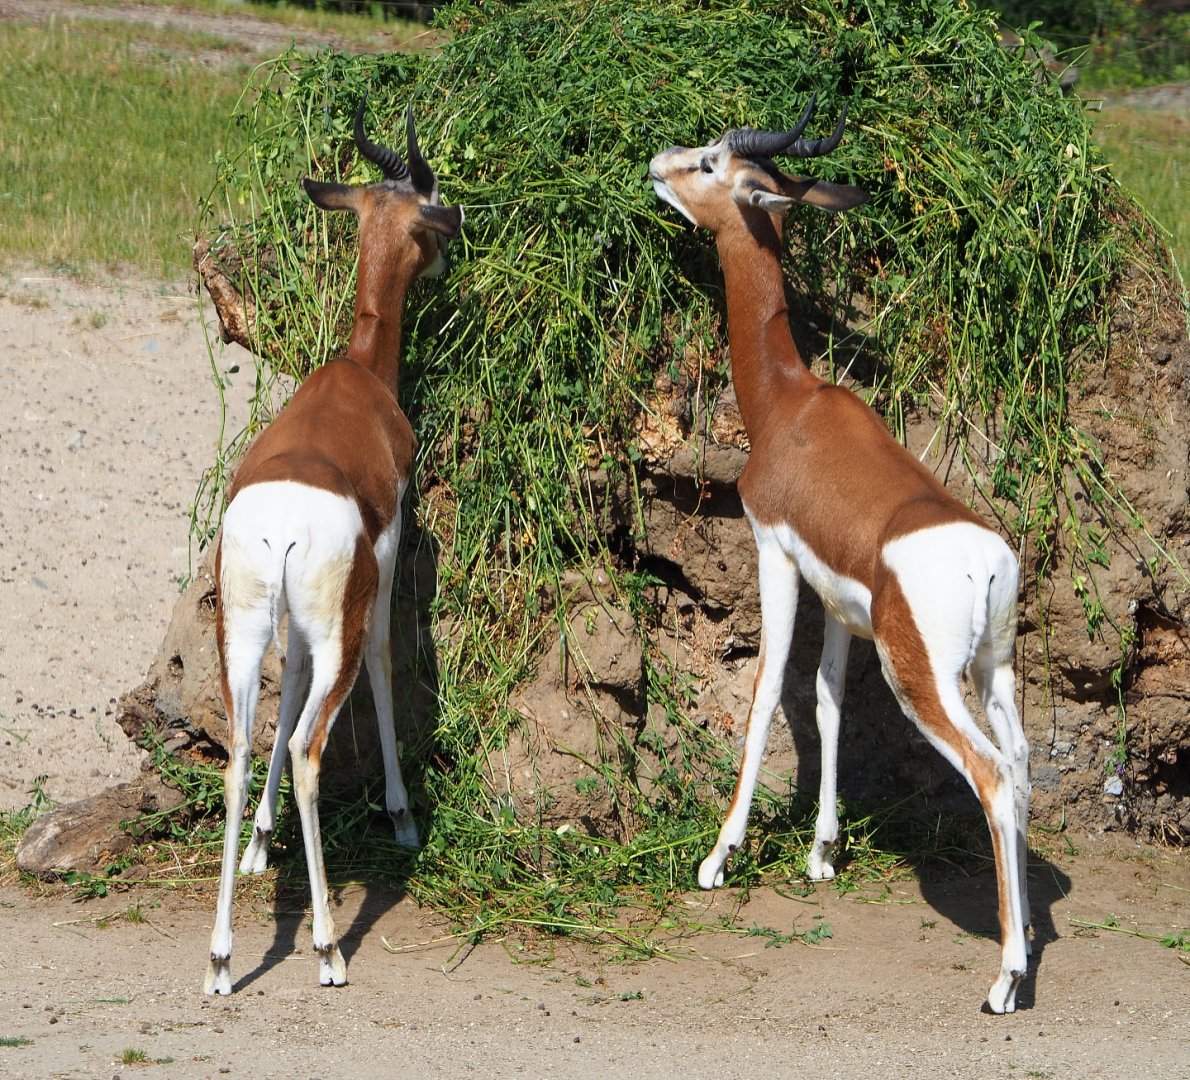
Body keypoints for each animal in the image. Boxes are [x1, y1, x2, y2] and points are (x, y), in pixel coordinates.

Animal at [203, 101, 463, 996]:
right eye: (433, 209)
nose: (450, 255)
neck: (359, 377)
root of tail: (279, 523)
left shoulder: (295, 629)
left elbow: (282, 701)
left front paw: (259, 842)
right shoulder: (381, 570)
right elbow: (387, 663)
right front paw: (404, 817)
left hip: (244, 628)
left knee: (241, 750)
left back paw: (220, 959)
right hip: (328, 622)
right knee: (311, 747)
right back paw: (325, 948)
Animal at [649, 98, 1030, 1013]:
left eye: (710, 162)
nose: (655, 164)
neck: (788, 403)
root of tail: (985, 562)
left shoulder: (774, 556)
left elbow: (763, 697)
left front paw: (719, 856)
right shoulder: (839, 604)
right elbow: (823, 703)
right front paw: (821, 850)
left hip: (923, 679)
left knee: (993, 777)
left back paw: (1003, 981)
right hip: (995, 670)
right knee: (1025, 768)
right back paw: (1028, 950)